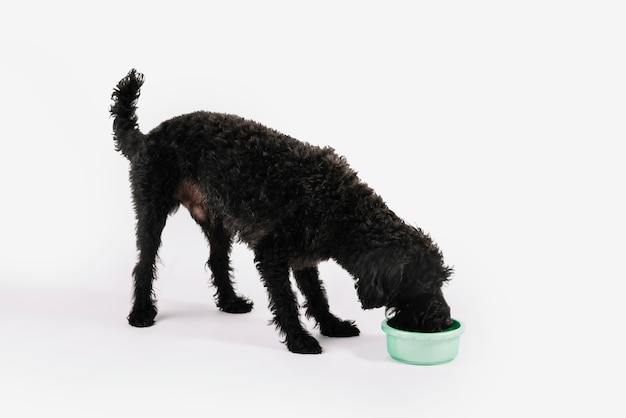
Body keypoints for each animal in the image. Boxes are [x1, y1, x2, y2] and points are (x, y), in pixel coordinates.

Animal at [109, 69, 450, 352]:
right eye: (424, 285)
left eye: (440, 281)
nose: (445, 321)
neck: (343, 208)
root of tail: (147, 137)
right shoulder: (272, 254)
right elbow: (287, 300)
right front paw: (299, 339)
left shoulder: (304, 258)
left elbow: (317, 295)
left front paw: (331, 325)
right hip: (152, 211)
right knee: (144, 263)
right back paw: (141, 312)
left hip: (217, 221)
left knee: (217, 260)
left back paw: (230, 302)